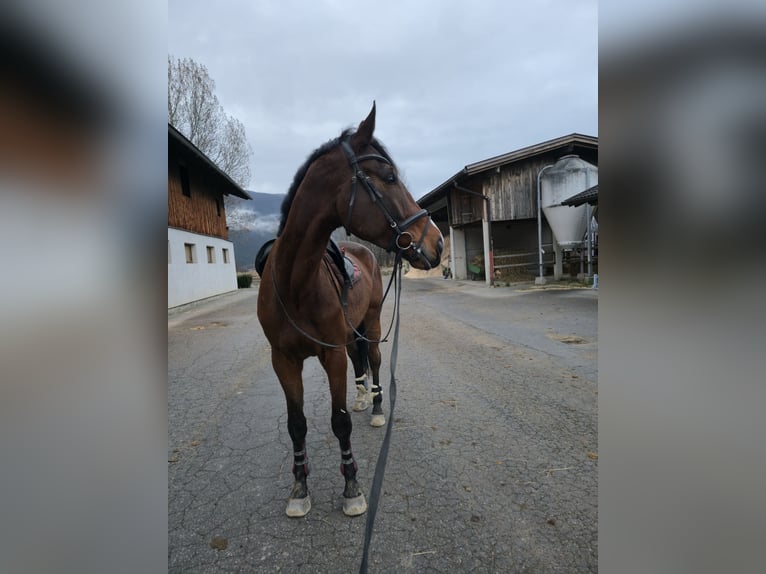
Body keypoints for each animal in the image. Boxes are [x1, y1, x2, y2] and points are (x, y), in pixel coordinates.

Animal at [256, 103, 444, 518]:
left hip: (371, 324)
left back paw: (374, 405)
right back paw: (360, 396)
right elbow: (296, 424)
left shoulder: (330, 356)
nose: (437, 243)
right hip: (351, 331)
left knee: (372, 360)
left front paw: (352, 488)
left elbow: (339, 422)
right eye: (389, 177)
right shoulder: (284, 360)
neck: (296, 283)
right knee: (360, 361)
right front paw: (299, 489)